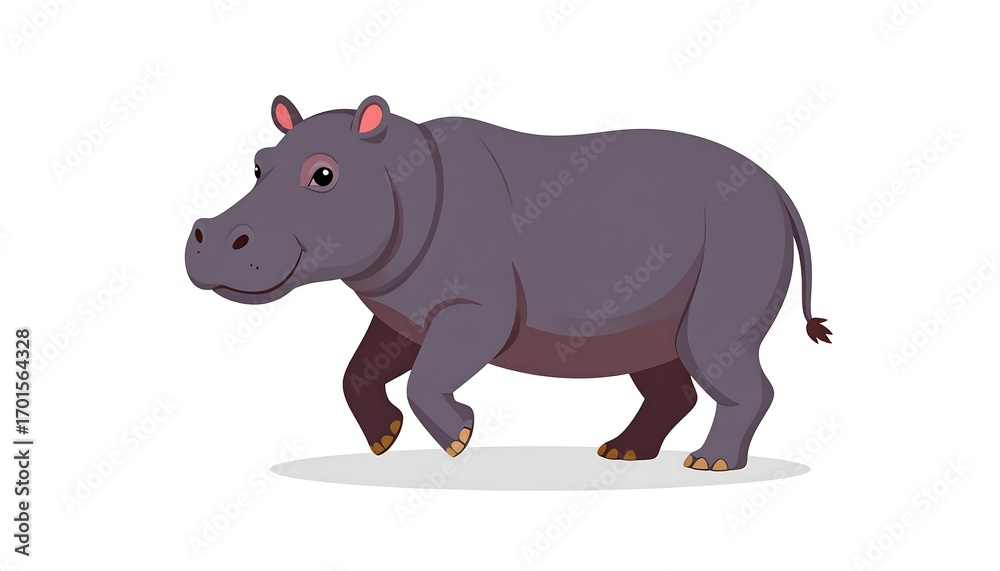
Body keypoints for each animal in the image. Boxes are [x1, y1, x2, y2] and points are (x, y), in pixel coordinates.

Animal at [185, 95, 831, 472]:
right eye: (258, 165)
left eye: (323, 175)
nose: (210, 238)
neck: (397, 168)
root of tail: (780, 190)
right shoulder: (404, 306)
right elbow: (359, 370)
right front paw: (384, 441)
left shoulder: (476, 306)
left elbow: (427, 377)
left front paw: (459, 439)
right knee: (662, 361)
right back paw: (622, 455)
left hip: (738, 234)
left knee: (714, 351)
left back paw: (707, 465)